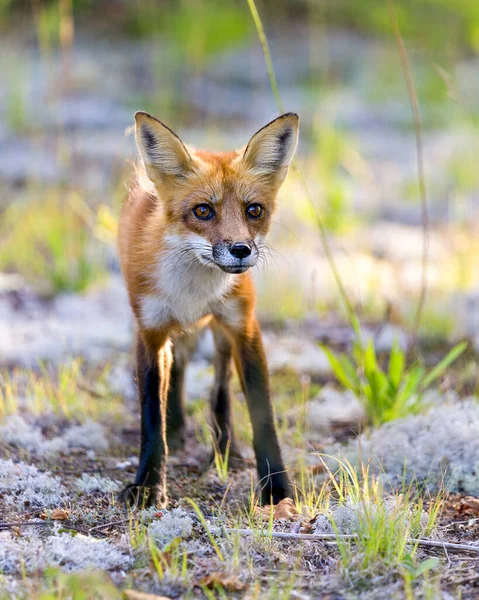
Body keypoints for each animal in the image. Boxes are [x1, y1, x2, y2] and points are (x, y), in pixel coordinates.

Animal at [119, 111, 300, 506]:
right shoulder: (150, 331)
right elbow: (151, 414)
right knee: (177, 373)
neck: (193, 293)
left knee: (219, 390)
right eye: (203, 210)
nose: (240, 250)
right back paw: (177, 431)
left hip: (221, 334)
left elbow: (262, 417)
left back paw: (224, 451)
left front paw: (276, 488)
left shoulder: (244, 328)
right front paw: (148, 484)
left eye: (254, 210)